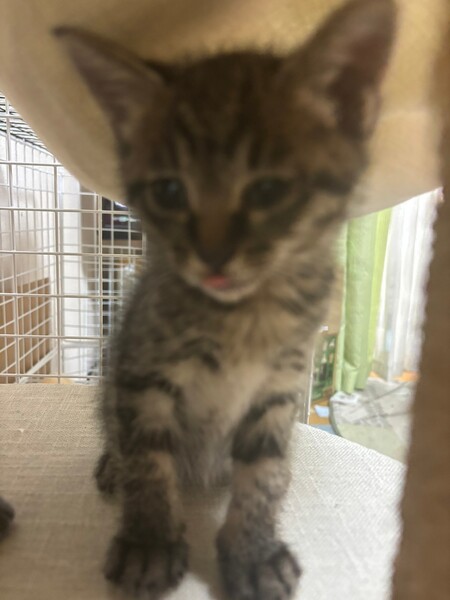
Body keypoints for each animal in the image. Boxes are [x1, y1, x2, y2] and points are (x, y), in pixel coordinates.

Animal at [55, 0, 396, 598]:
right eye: (170, 191)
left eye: (268, 191)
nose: (213, 258)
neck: (243, 315)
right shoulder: (142, 373)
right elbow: (148, 459)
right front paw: (150, 541)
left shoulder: (280, 389)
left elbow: (265, 473)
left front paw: (253, 552)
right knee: (118, 434)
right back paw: (113, 466)